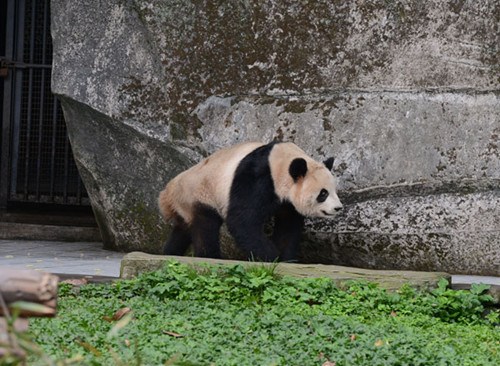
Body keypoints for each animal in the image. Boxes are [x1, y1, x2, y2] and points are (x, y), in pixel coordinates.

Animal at [158, 142, 342, 262]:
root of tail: (167, 193)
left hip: (186, 204)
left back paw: (169, 252)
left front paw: (286, 257)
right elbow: (242, 220)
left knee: (182, 230)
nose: (338, 208)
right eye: (323, 193)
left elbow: (289, 225)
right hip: (201, 194)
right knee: (205, 226)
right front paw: (272, 257)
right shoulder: (257, 177)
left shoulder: (287, 201)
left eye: (334, 190)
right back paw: (210, 255)